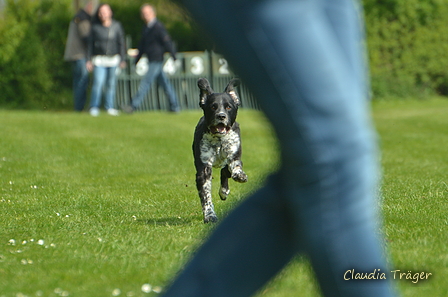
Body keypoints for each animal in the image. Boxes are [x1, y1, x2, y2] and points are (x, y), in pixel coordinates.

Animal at [192, 77, 248, 221]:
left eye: (228, 107)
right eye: (213, 106)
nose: (221, 116)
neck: (219, 141)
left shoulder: (234, 156)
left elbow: (234, 167)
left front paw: (240, 175)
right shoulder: (204, 167)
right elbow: (205, 194)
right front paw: (209, 215)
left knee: (225, 171)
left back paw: (224, 191)